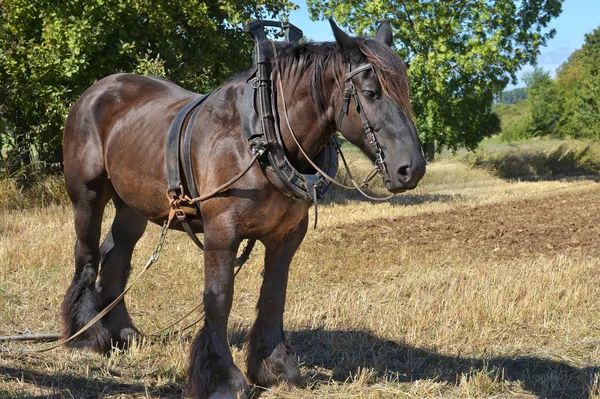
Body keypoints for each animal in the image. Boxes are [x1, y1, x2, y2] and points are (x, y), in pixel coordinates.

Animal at [59, 20, 426, 398]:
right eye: (370, 93)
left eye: (404, 91)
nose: (411, 169)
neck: (261, 138)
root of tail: (96, 90)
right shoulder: (222, 232)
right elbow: (218, 298)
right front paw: (221, 377)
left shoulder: (286, 237)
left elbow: (274, 296)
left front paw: (275, 368)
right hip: (87, 195)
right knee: (87, 253)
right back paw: (87, 335)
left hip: (134, 206)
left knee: (116, 254)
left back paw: (124, 334)